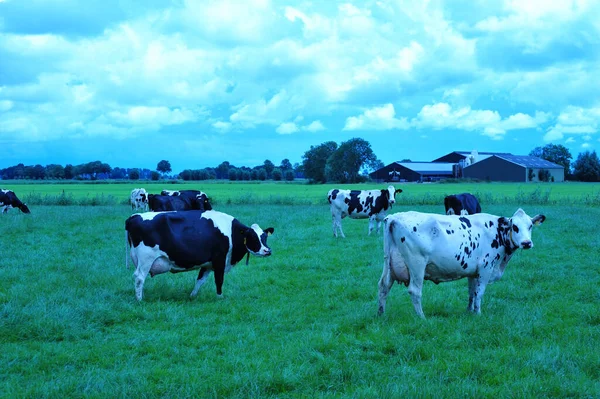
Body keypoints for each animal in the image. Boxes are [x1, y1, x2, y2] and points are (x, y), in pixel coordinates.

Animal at [127, 211, 276, 302]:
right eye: (252, 237)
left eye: (264, 236)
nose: (267, 250)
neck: (231, 232)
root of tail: (133, 217)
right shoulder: (219, 259)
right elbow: (219, 280)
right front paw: (220, 297)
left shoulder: (208, 264)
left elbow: (200, 280)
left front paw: (192, 296)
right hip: (146, 259)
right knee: (139, 277)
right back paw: (140, 300)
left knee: (140, 279)